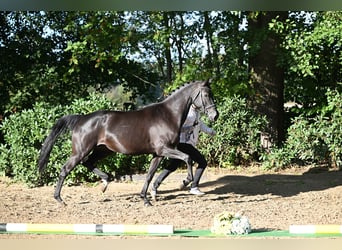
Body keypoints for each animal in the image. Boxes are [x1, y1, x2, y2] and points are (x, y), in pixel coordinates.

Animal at [37, 79, 219, 205]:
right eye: (206, 95)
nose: (215, 115)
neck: (168, 115)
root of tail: (81, 119)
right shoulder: (164, 149)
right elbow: (187, 158)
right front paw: (185, 181)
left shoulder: (158, 154)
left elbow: (150, 175)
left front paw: (145, 199)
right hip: (81, 151)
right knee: (65, 169)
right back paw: (59, 199)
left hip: (103, 150)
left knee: (88, 162)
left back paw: (105, 182)